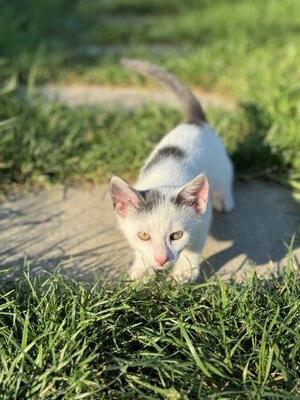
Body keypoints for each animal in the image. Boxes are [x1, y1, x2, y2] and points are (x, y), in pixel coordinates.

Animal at [109, 60, 233, 284]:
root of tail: (195, 121)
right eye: (144, 236)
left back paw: (225, 199)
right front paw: (142, 269)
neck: (163, 179)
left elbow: (194, 246)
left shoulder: (203, 216)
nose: (161, 260)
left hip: (221, 163)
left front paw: (184, 272)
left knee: (225, 177)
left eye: (176, 236)